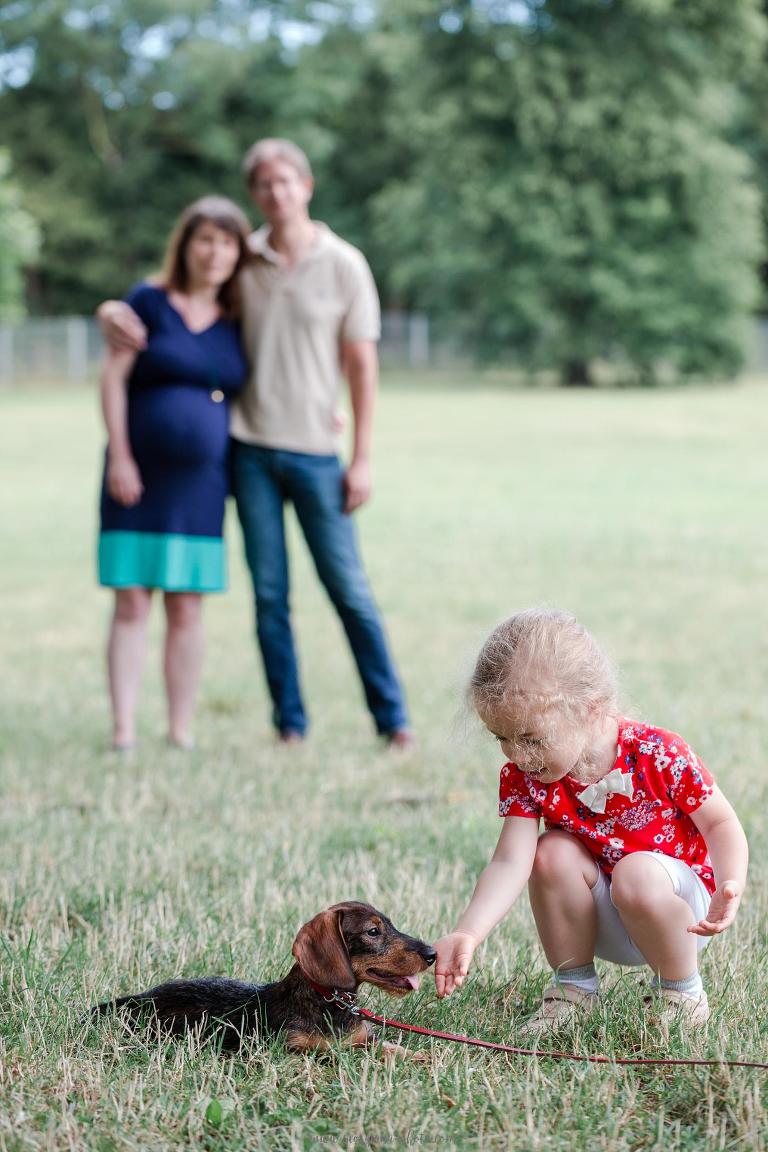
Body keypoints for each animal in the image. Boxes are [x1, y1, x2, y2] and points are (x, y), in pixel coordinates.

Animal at [93, 903, 435, 1055]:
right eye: (373, 931)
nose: (432, 953)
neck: (330, 1003)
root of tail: (136, 999)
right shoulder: (297, 1051)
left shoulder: (366, 1040)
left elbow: (401, 1051)